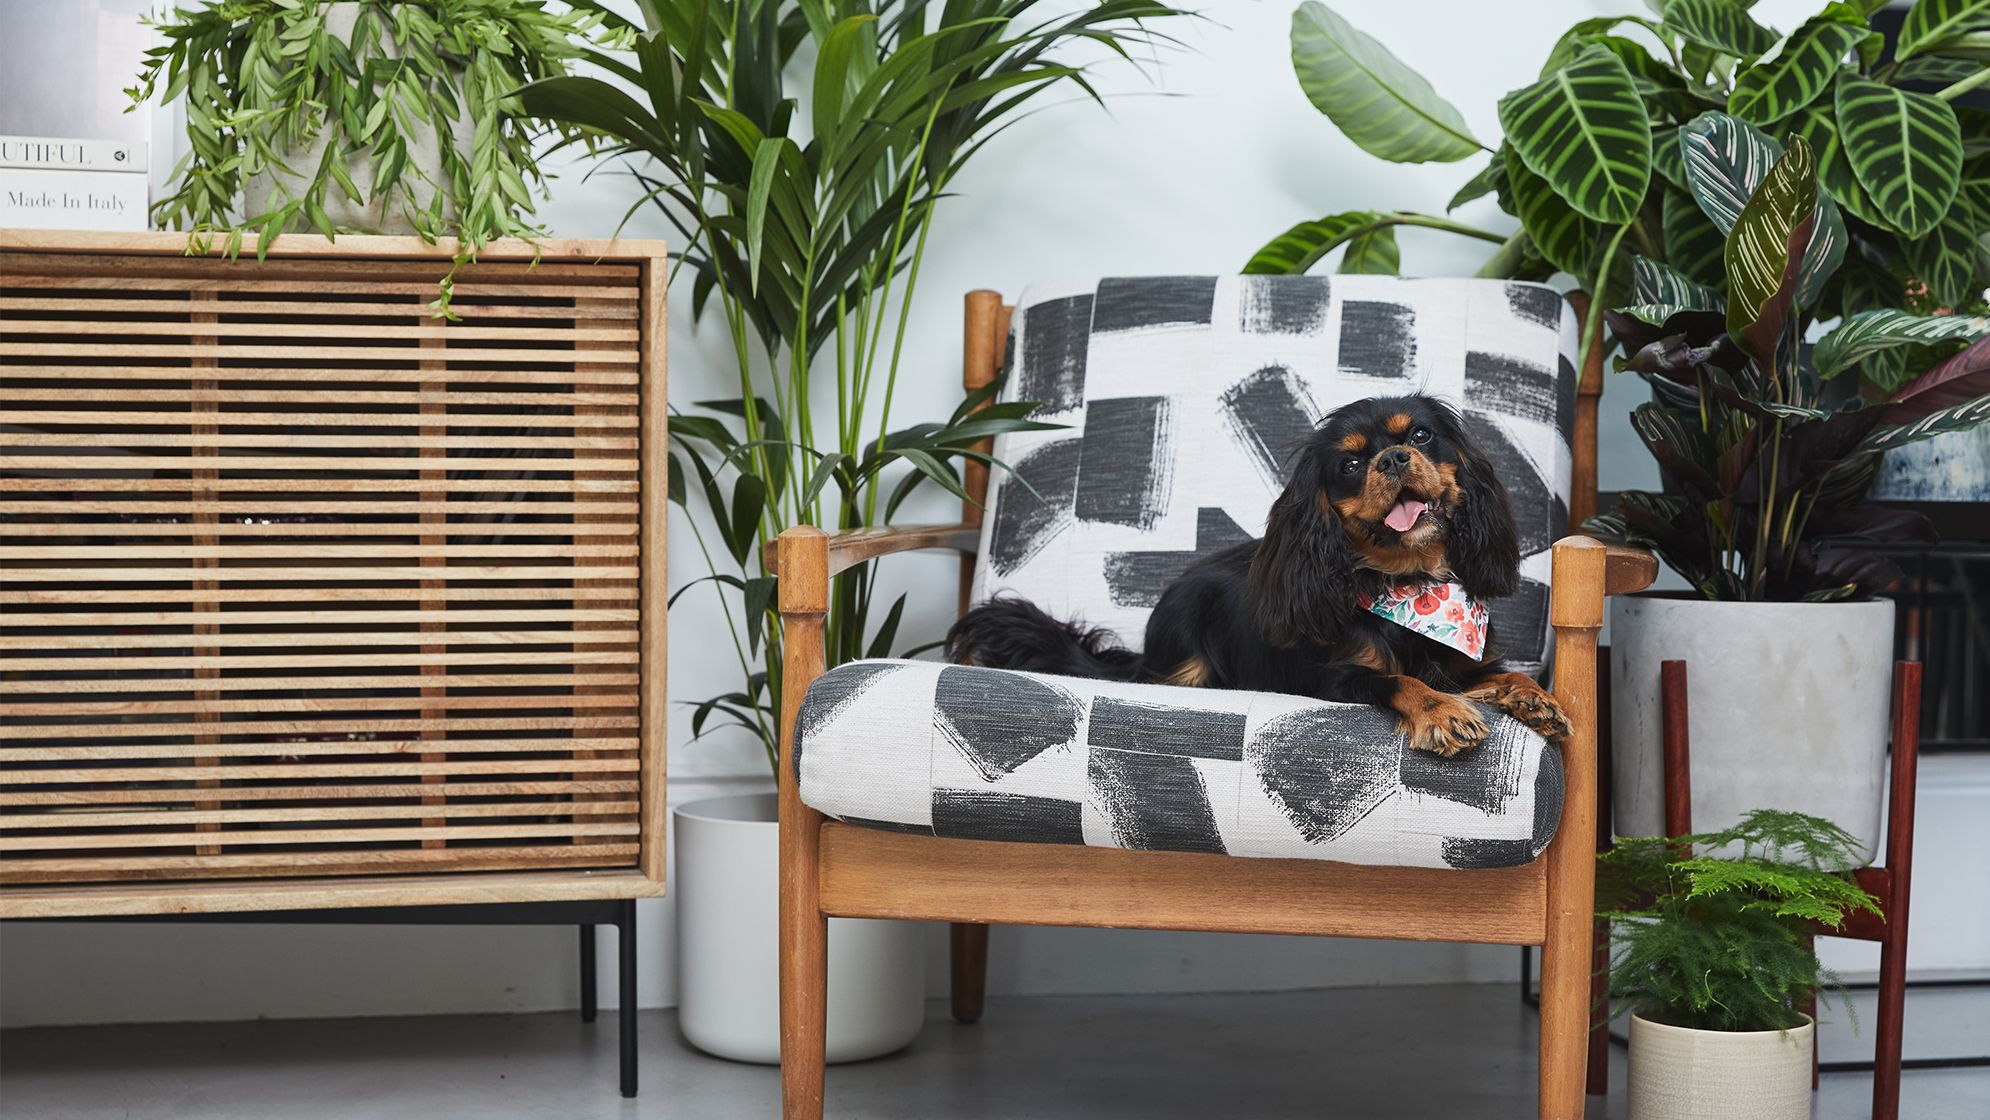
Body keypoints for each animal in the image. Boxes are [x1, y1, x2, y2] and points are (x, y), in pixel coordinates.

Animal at [947, 391, 1568, 751]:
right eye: (1350, 463)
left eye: (1420, 435)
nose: (1392, 459)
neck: (1409, 583)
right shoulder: (1329, 679)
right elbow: (1400, 680)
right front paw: (1441, 712)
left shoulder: (1462, 660)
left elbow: (1498, 674)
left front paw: (1530, 697)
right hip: (1184, 660)